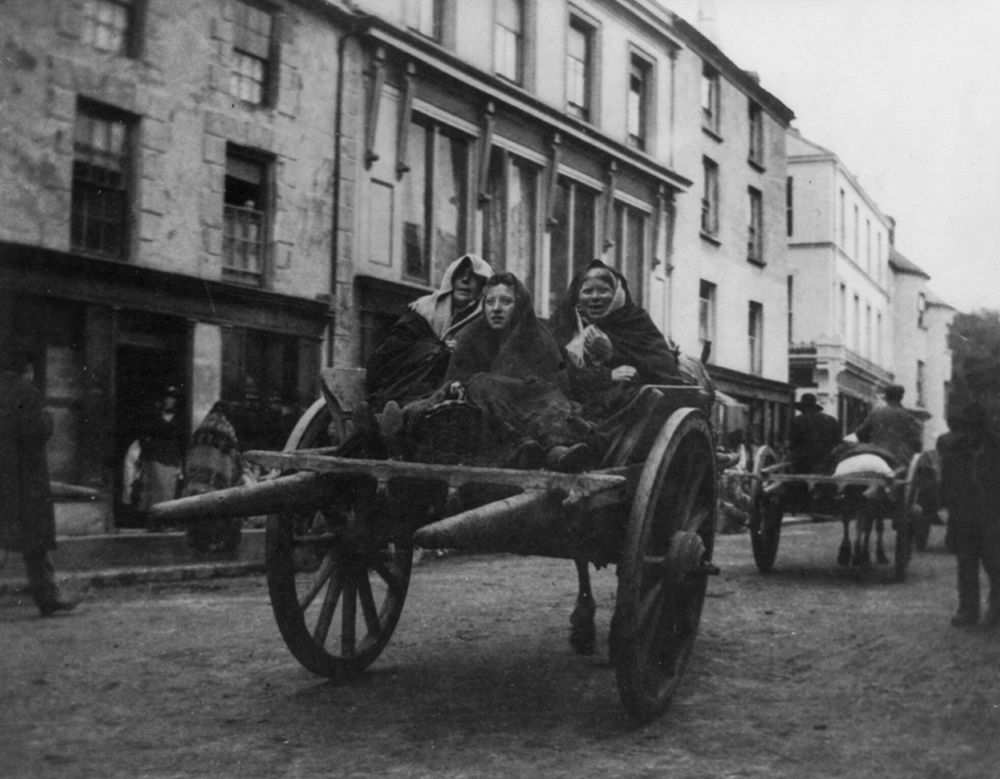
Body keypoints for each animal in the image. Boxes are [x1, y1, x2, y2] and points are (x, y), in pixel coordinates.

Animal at [740, 448, 916, 580]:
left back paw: (852, 554)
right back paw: (853, 554)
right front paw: (872, 554)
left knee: (851, 519)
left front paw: (864, 554)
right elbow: (873, 526)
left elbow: (867, 525)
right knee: (856, 521)